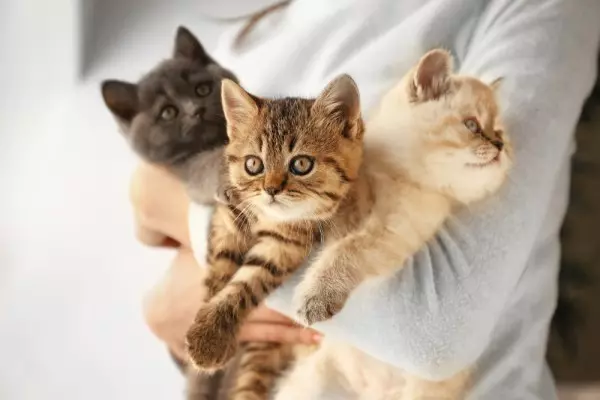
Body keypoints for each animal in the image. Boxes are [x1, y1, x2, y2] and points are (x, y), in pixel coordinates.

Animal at [274, 49, 512, 400]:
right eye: (472, 125)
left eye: (501, 133)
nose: (499, 146)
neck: (394, 174)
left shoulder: (392, 231)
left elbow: (346, 249)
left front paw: (315, 296)